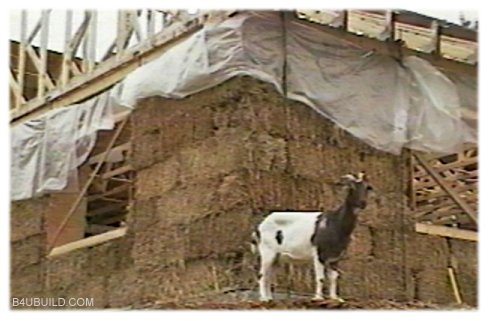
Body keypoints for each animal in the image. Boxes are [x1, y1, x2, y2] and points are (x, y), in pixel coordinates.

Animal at [250, 171, 372, 302]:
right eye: (351, 187)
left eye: (367, 187)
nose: (362, 203)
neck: (334, 223)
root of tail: (259, 227)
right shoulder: (319, 254)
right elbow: (320, 277)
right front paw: (318, 298)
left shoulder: (335, 257)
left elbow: (334, 277)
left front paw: (335, 298)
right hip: (267, 251)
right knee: (262, 275)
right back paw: (264, 298)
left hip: (276, 257)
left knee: (269, 276)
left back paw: (269, 298)